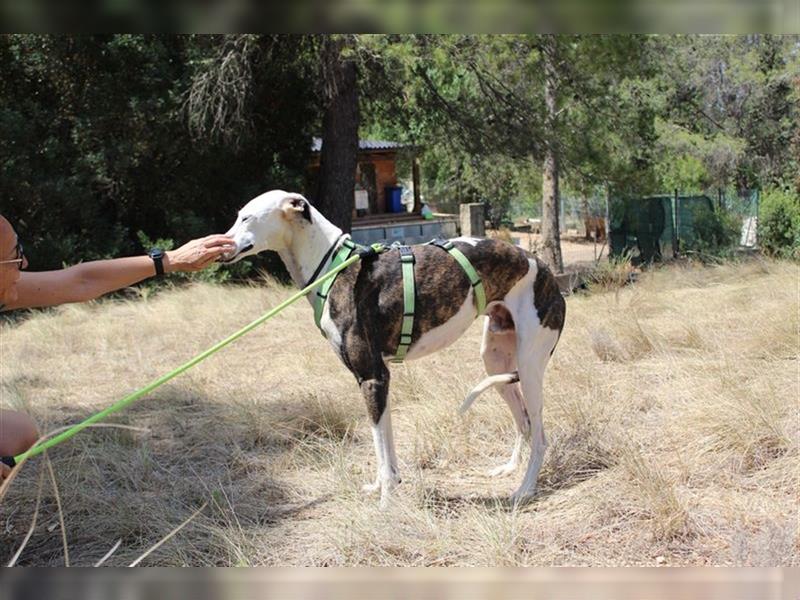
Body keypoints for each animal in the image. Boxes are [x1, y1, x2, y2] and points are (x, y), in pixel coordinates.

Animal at [222, 190, 564, 504]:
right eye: (238, 216)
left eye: (247, 218)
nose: (222, 247)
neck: (333, 267)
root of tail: (545, 269)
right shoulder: (380, 378)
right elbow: (386, 444)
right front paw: (384, 487)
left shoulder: (372, 377)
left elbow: (380, 447)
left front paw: (386, 503)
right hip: (496, 361)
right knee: (524, 421)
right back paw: (509, 468)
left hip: (529, 366)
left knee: (541, 435)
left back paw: (525, 489)